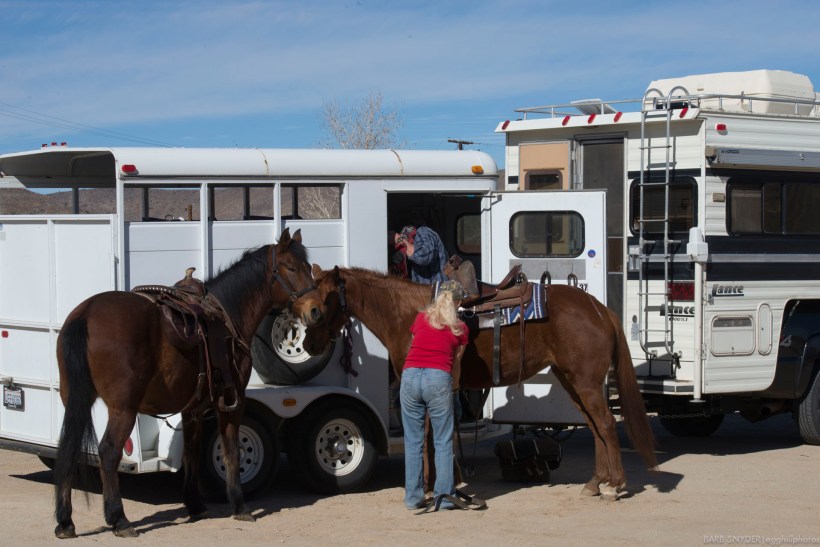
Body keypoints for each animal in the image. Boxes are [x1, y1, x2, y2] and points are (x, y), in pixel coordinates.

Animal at [53, 228, 323, 539]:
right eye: (291, 268)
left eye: (308, 268)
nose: (316, 311)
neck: (228, 314)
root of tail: (86, 314)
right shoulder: (232, 401)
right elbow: (231, 450)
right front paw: (239, 505)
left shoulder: (192, 408)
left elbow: (191, 452)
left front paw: (194, 504)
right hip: (123, 409)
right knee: (108, 453)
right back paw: (119, 519)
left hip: (76, 400)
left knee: (68, 448)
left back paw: (65, 521)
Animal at [303, 266, 657, 501]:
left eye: (322, 304)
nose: (308, 344)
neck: (408, 314)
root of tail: (599, 309)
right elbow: (436, 437)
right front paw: (446, 482)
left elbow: (429, 437)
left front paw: (431, 487)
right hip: (573, 382)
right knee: (596, 427)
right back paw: (595, 482)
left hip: (585, 383)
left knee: (607, 424)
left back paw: (615, 485)